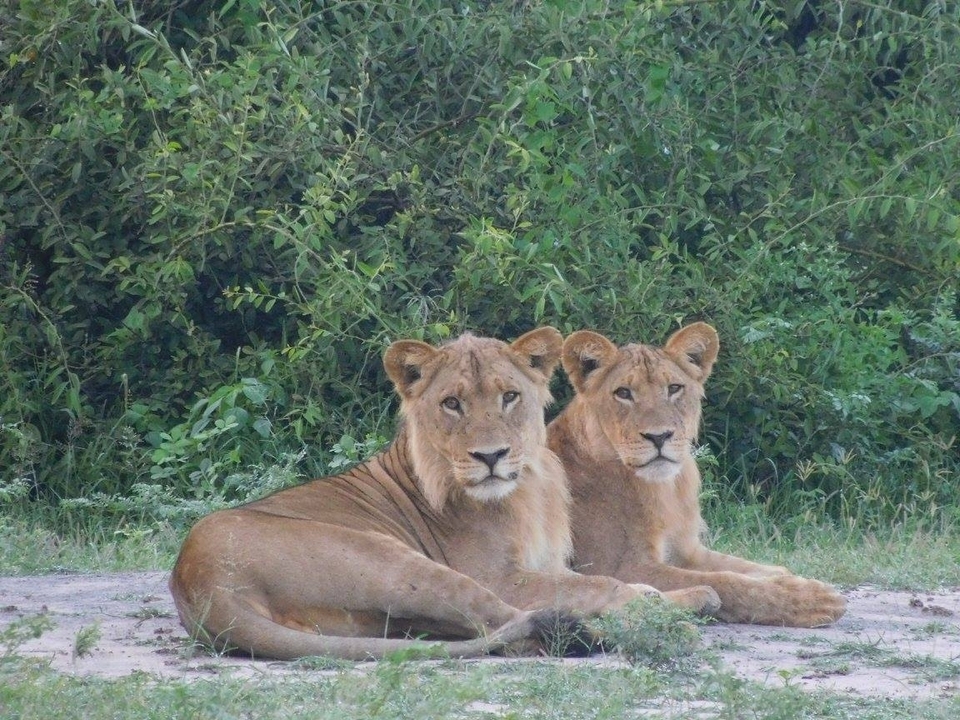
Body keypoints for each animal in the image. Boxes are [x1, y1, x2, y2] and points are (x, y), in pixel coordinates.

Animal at [169, 328, 720, 660]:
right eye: (451, 403)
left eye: (510, 396)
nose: (491, 456)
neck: (528, 488)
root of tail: (203, 585)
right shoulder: (503, 576)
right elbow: (599, 585)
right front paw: (659, 600)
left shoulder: (549, 563)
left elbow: (602, 583)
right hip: (395, 562)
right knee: (510, 622)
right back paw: (665, 624)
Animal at [547, 322, 847, 627]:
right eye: (623, 393)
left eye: (674, 388)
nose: (659, 436)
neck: (665, 489)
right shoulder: (620, 567)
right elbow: (725, 581)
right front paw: (810, 599)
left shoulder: (688, 550)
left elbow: (739, 566)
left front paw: (788, 577)